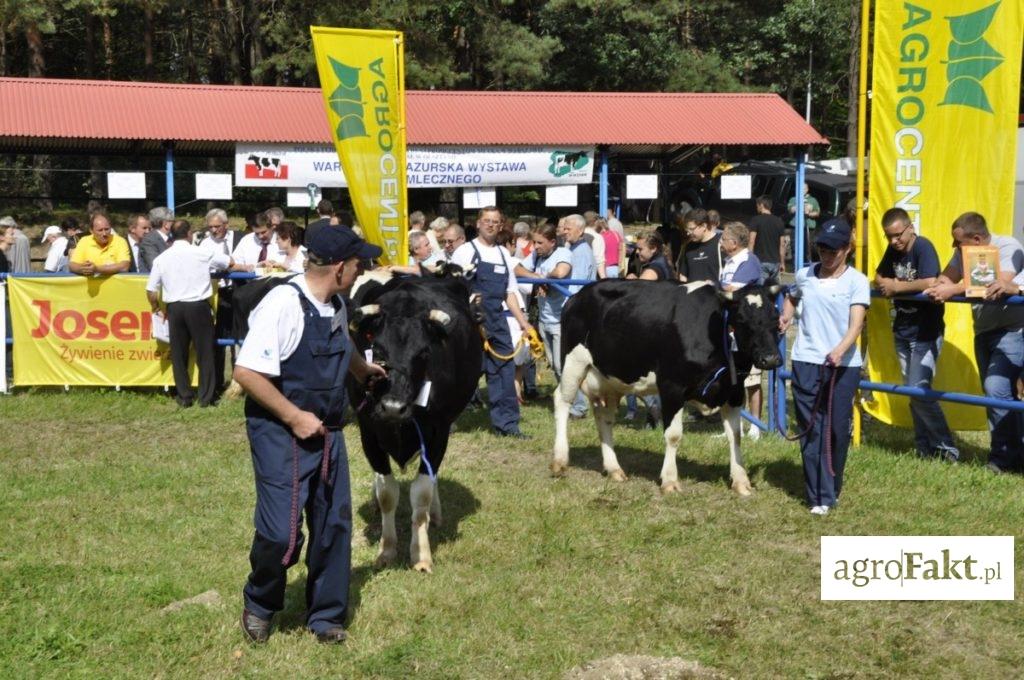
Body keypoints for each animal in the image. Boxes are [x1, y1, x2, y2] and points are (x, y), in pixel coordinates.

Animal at [348, 270, 483, 573]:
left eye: (423, 353)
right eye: (377, 350)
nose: (392, 408)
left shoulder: (438, 431)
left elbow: (421, 493)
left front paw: (420, 554)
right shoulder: (368, 431)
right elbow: (387, 493)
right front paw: (386, 550)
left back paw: (436, 512)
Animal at [552, 278, 782, 497]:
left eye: (776, 319)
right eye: (741, 320)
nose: (770, 359)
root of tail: (578, 295)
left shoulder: (734, 392)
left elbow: (735, 436)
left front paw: (741, 481)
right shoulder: (672, 387)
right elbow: (673, 435)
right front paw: (670, 480)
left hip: (608, 378)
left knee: (604, 417)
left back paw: (614, 469)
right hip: (573, 362)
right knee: (562, 401)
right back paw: (560, 461)